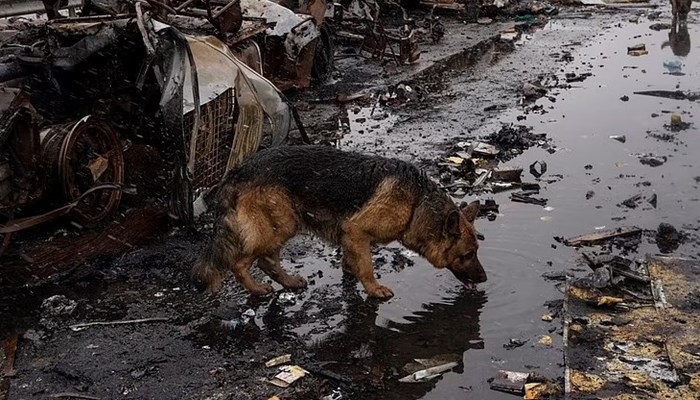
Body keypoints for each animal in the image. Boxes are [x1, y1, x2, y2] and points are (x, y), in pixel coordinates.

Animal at [191, 145, 486, 298]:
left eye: (476, 252)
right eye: (467, 254)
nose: (484, 279)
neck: (417, 202)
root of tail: (237, 172)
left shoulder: (350, 237)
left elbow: (351, 261)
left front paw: (350, 275)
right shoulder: (356, 230)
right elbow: (366, 266)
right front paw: (374, 289)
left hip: (282, 224)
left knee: (266, 261)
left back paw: (288, 283)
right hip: (281, 225)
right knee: (241, 262)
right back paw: (257, 288)